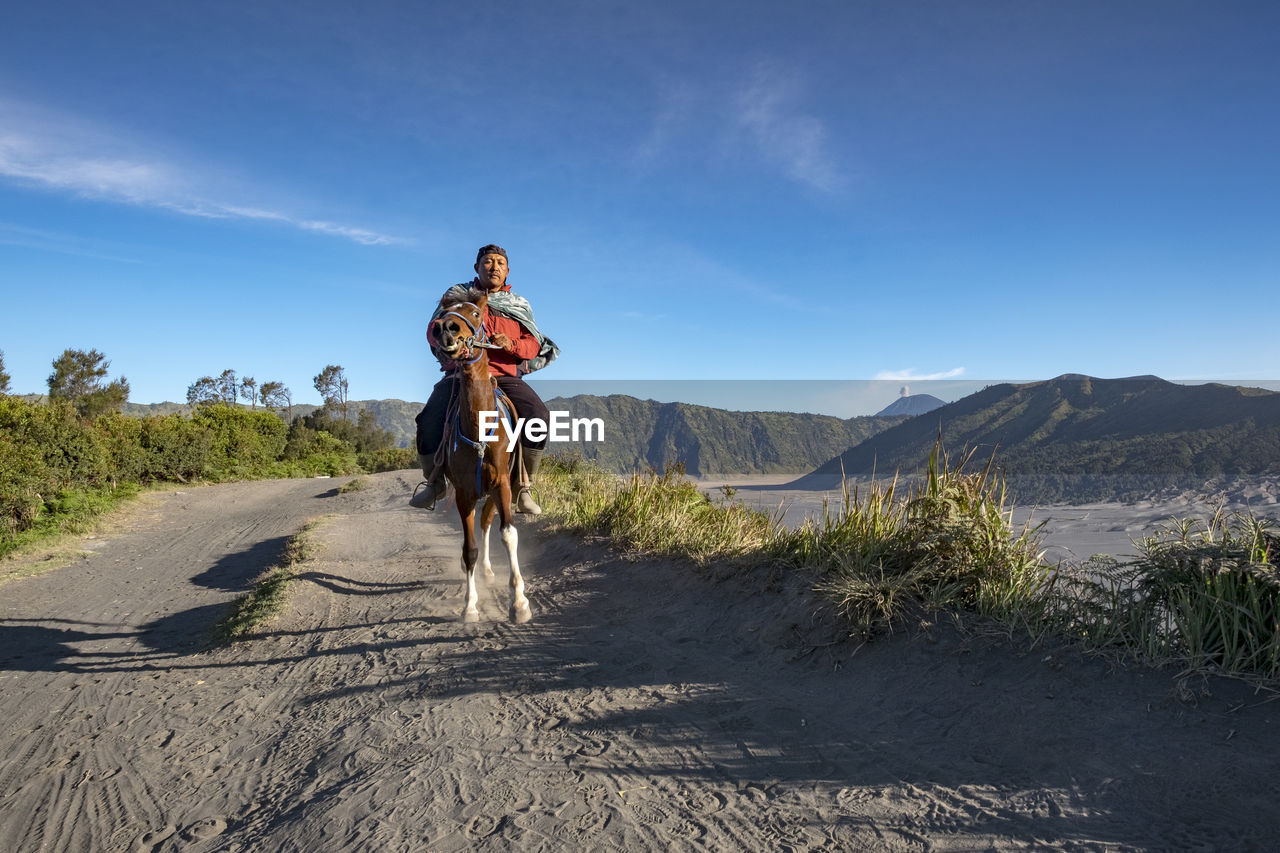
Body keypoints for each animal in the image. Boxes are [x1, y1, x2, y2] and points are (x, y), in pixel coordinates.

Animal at [430, 289, 529, 622]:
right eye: (442, 313)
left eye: (476, 314)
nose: (444, 328)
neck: (479, 426)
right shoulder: (463, 492)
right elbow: (468, 548)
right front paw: (469, 605)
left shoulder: (502, 484)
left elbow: (508, 535)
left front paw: (519, 601)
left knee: (487, 524)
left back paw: (488, 572)